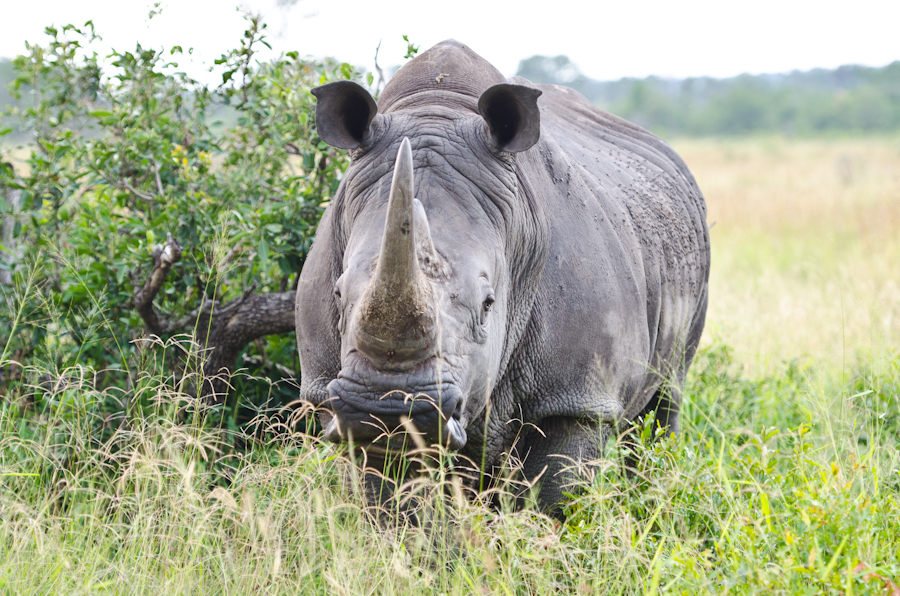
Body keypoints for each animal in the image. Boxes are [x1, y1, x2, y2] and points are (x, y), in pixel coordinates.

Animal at [296, 40, 709, 514]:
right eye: (338, 293)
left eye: (489, 303)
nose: (387, 407)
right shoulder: (335, 394)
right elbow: (394, 501)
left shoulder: (578, 397)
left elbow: (551, 499)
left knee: (664, 402)